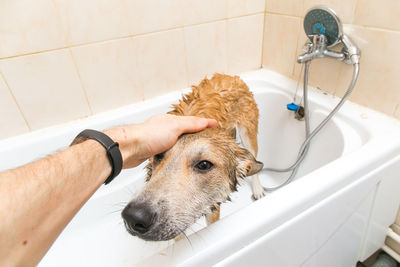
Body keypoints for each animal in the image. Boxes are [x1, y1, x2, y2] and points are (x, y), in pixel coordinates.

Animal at [122, 74, 266, 242]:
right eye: (158, 155)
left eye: (204, 165)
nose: (133, 216)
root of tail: (229, 76)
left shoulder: (212, 206)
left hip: (248, 134)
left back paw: (258, 189)